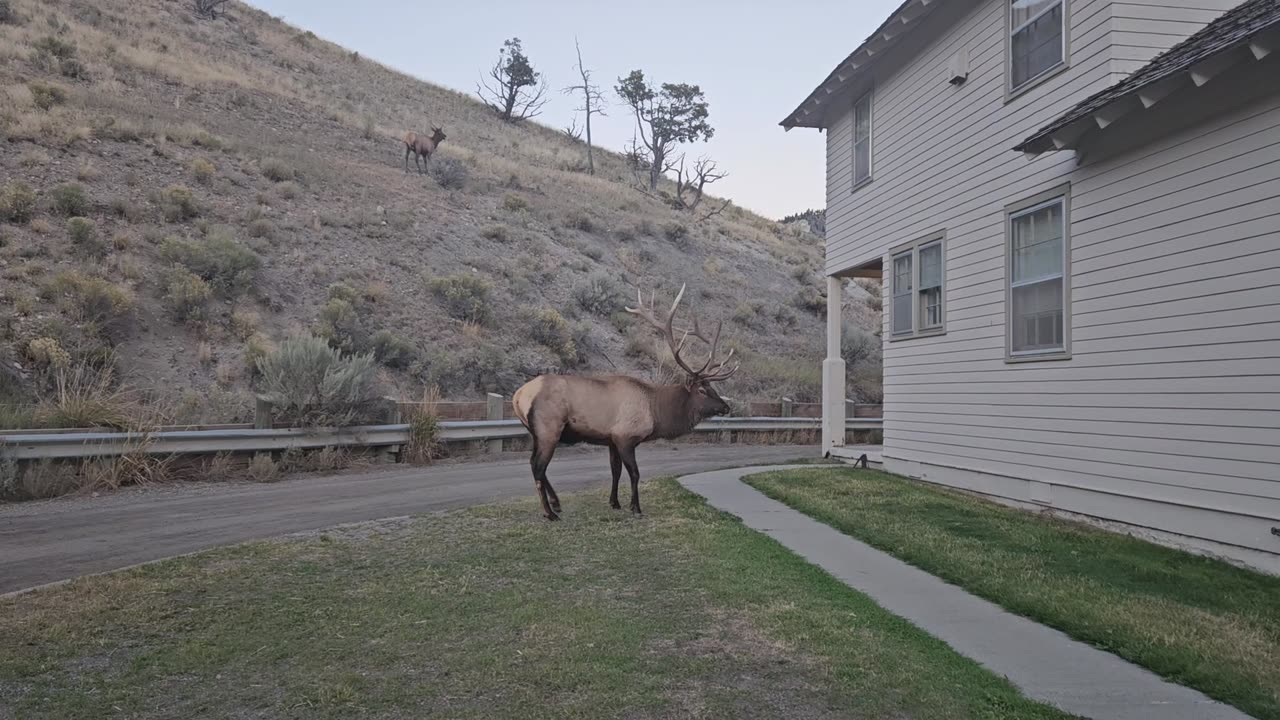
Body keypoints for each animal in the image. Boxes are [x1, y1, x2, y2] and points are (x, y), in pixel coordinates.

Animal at [512, 285, 740, 521]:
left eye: (713, 388)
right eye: (702, 390)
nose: (726, 407)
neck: (655, 411)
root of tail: (519, 395)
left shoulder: (612, 439)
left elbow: (616, 471)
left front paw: (615, 502)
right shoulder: (625, 437)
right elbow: (635, 473)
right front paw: (636, 507)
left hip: (535, 431)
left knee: (534, 463)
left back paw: (556, 504)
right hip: (549, 427)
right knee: (538, 466)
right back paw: (549, 512)